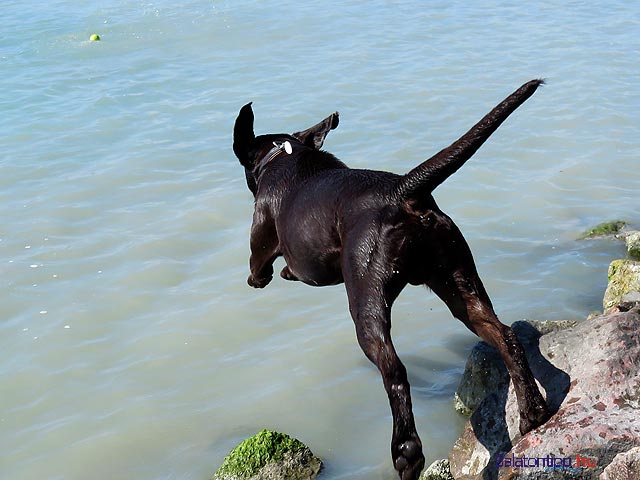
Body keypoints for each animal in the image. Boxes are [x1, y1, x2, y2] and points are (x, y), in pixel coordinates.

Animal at [232, 80, 552, 478]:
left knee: (394, 370)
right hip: (459, 282)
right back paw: (532, 412)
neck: (284, 155)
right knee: (504, 335)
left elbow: (260, 266)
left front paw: (268, 276)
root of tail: (402, 193)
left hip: (366, 300)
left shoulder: (261, 238)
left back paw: (407, 454)